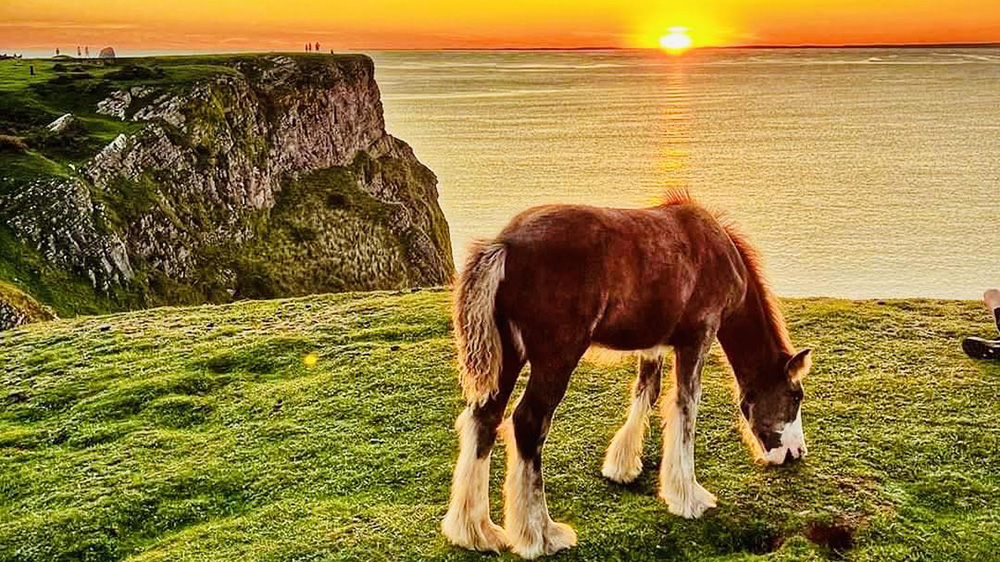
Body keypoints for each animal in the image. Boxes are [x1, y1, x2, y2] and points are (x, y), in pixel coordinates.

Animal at [441, 194, 812, 559]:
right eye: (796, 396)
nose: (795, 452)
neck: (718, 251)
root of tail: (504, 244)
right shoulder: (698, 339)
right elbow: (685, 410)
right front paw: (689, 497)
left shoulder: (653, 344)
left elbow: (647, 392)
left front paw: (622, 466)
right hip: (556, 358)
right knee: (528, 423)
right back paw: (541, 535)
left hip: (509, 356)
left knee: (485, 419)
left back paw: (476, 531)